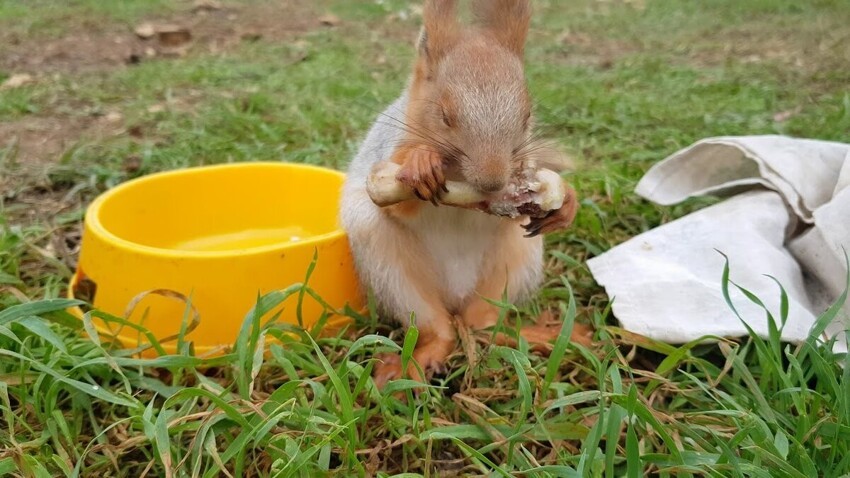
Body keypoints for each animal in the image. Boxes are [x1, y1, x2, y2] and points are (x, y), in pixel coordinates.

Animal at [342, 0, 580, 388]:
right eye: (444, 114)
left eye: (528, 114)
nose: (493, 182)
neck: (458, 174)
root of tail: (455, 299)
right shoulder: (387, 158)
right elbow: (397, 199)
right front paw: (422, 163)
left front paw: (566, 202)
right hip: (392, 270)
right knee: (437, 328)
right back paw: (413, 364)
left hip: (514, 263)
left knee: (483, 322)